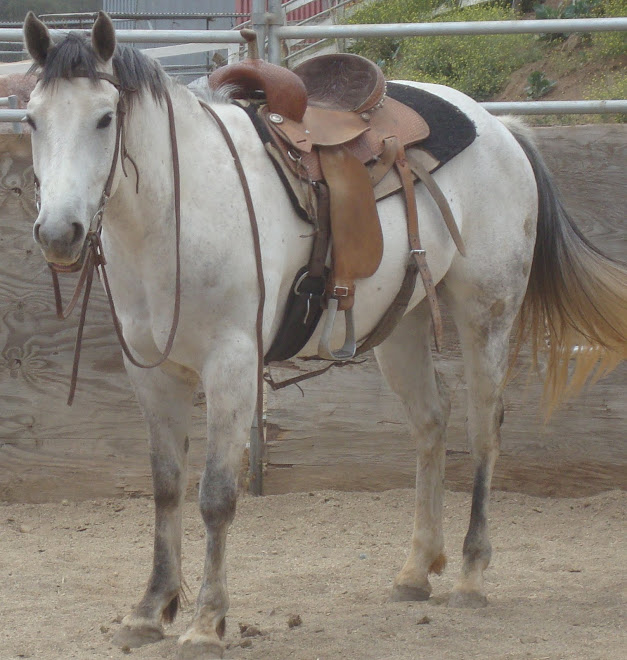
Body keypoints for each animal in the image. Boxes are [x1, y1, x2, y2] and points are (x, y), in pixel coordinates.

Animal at [23, 11, 626, 660]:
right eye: (30, 119)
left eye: (104, 118)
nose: (58, 233)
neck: (178, 210)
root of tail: (501, 128)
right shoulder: (151, 372)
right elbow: (165, 487)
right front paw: (149, 610)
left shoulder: (231, 364)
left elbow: (215, 495)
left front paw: (207, 622)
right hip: (403, 323)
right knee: (431, 423)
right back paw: (416, 570)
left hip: (486, 313)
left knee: (483, 429)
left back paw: (469, 575)